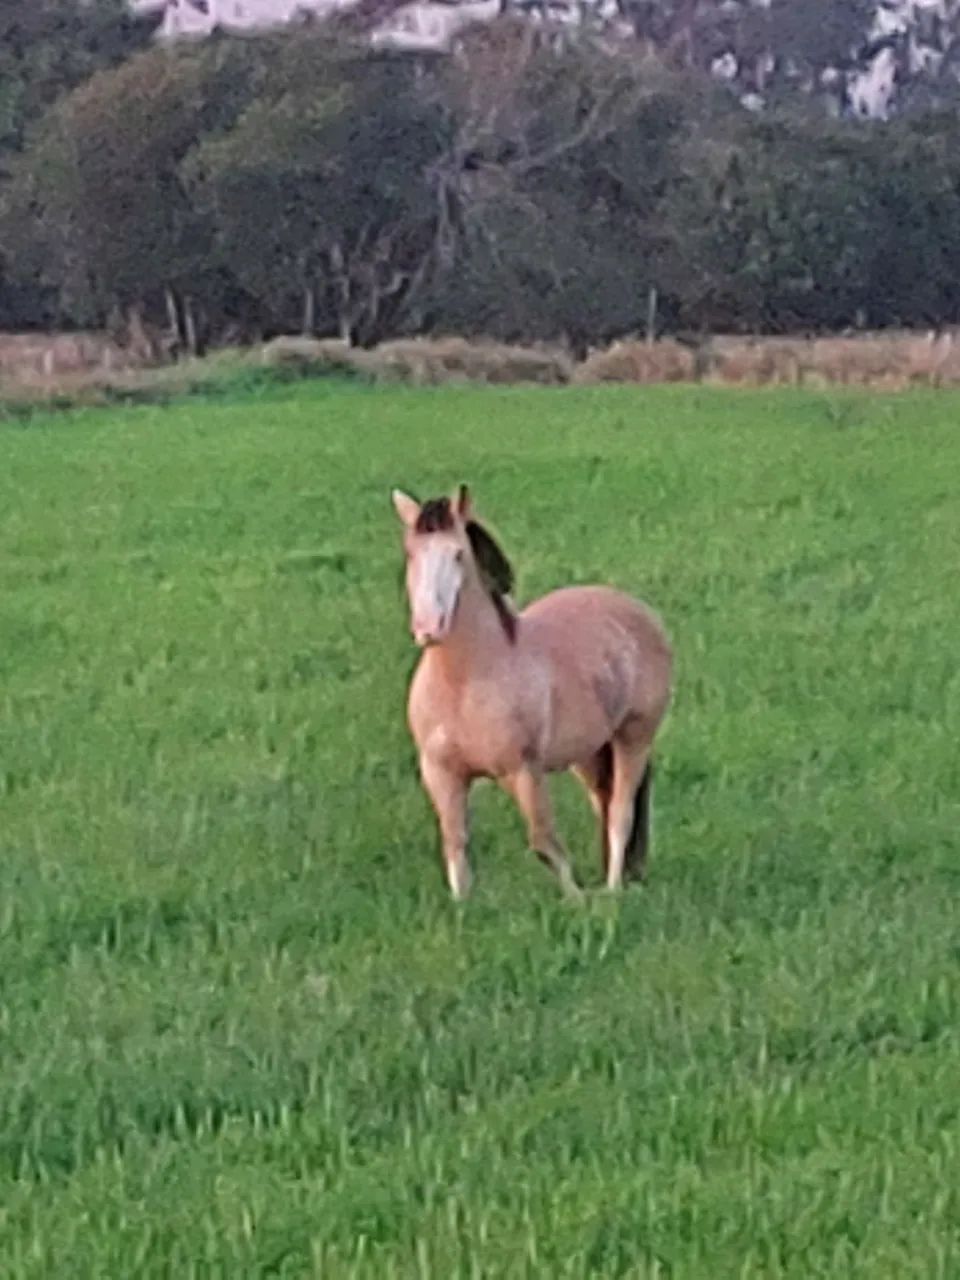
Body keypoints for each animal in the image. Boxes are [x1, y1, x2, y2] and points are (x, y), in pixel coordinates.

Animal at [392, 484, 672, 900]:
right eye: (411, 553)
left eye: (458, 554)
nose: (428, 628)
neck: (463, 682)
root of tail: (638, 612)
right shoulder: (441, 775)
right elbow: (456, 844)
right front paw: (463, 907)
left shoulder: (523, 771)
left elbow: (544, 841)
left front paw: (576, 902)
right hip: (588, 755)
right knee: (603, 805)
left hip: (633, 738)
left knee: (621, 814)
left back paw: (612, 890)